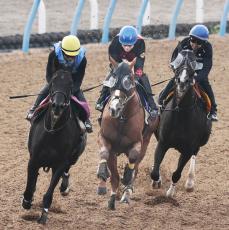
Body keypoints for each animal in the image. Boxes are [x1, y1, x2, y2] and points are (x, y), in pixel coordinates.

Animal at [22, 69, 87, 224]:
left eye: (70, 85)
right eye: (52, 83)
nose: (57, 106)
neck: (52, 132)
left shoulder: (59, 164)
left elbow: (50, 191)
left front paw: (43, 216)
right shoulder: (33, 160)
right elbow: (30, 184)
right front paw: (27, 200)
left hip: (74, 157)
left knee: (67, 170)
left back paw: (64, 187)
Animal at [95, 59, 158, 210]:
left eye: (129, 80)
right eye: (113, 80)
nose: (114, 108)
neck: (122, 119)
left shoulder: (138, 142)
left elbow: (133, 158)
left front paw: (127, 179)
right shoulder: (105, 139)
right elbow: (105, 156)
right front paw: (103, 181)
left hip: (146, 141)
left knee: (136, 166)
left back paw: (126, 193)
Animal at [151, 50, 212, 198]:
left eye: (192, 71)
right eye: (177, 68)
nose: (182, 82)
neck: (180, 114)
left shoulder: (187, 150)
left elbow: (177, 174)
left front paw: (170, 192)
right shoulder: (163, 142)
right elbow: (155, 170)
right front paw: (157, 181)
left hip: (200, 143)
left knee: (195, 154)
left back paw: (190, 183)